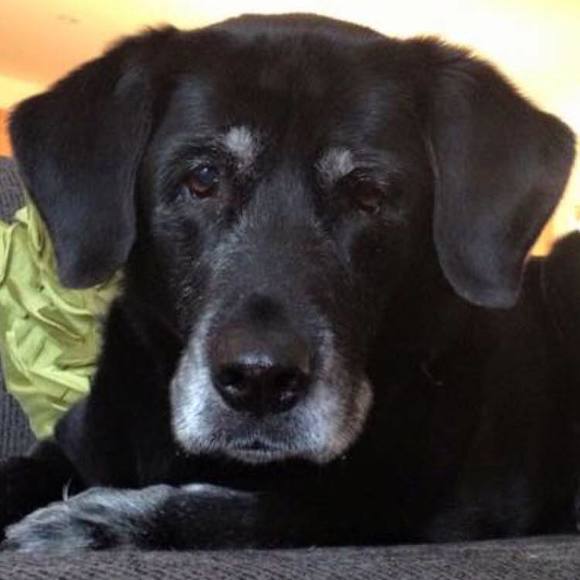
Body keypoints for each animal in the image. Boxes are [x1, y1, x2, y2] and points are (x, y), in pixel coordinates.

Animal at [0, 13, 578, 552]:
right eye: (203, 179)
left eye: (369, 195)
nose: (260, 379)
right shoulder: (72, 444)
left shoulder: (389, 508)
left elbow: (252, 514)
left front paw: (91, 522)